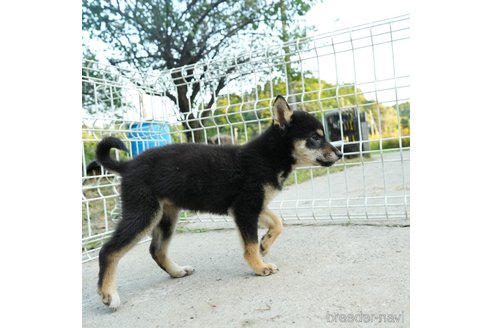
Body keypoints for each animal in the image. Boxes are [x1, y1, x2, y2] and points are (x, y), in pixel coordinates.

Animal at [96, 95, 342, 308]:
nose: (340, 154)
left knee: (156, 250)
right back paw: (108, 294)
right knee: (108, 251)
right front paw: (259, 267)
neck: (268, 156)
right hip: (144, 213)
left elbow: (278, 222)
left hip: (166, 216)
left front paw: (265, 244)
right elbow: (249, 245)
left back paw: (177, 271)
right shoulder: (246, 208)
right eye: (315, 137)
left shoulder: (251, 205)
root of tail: (127, 165)